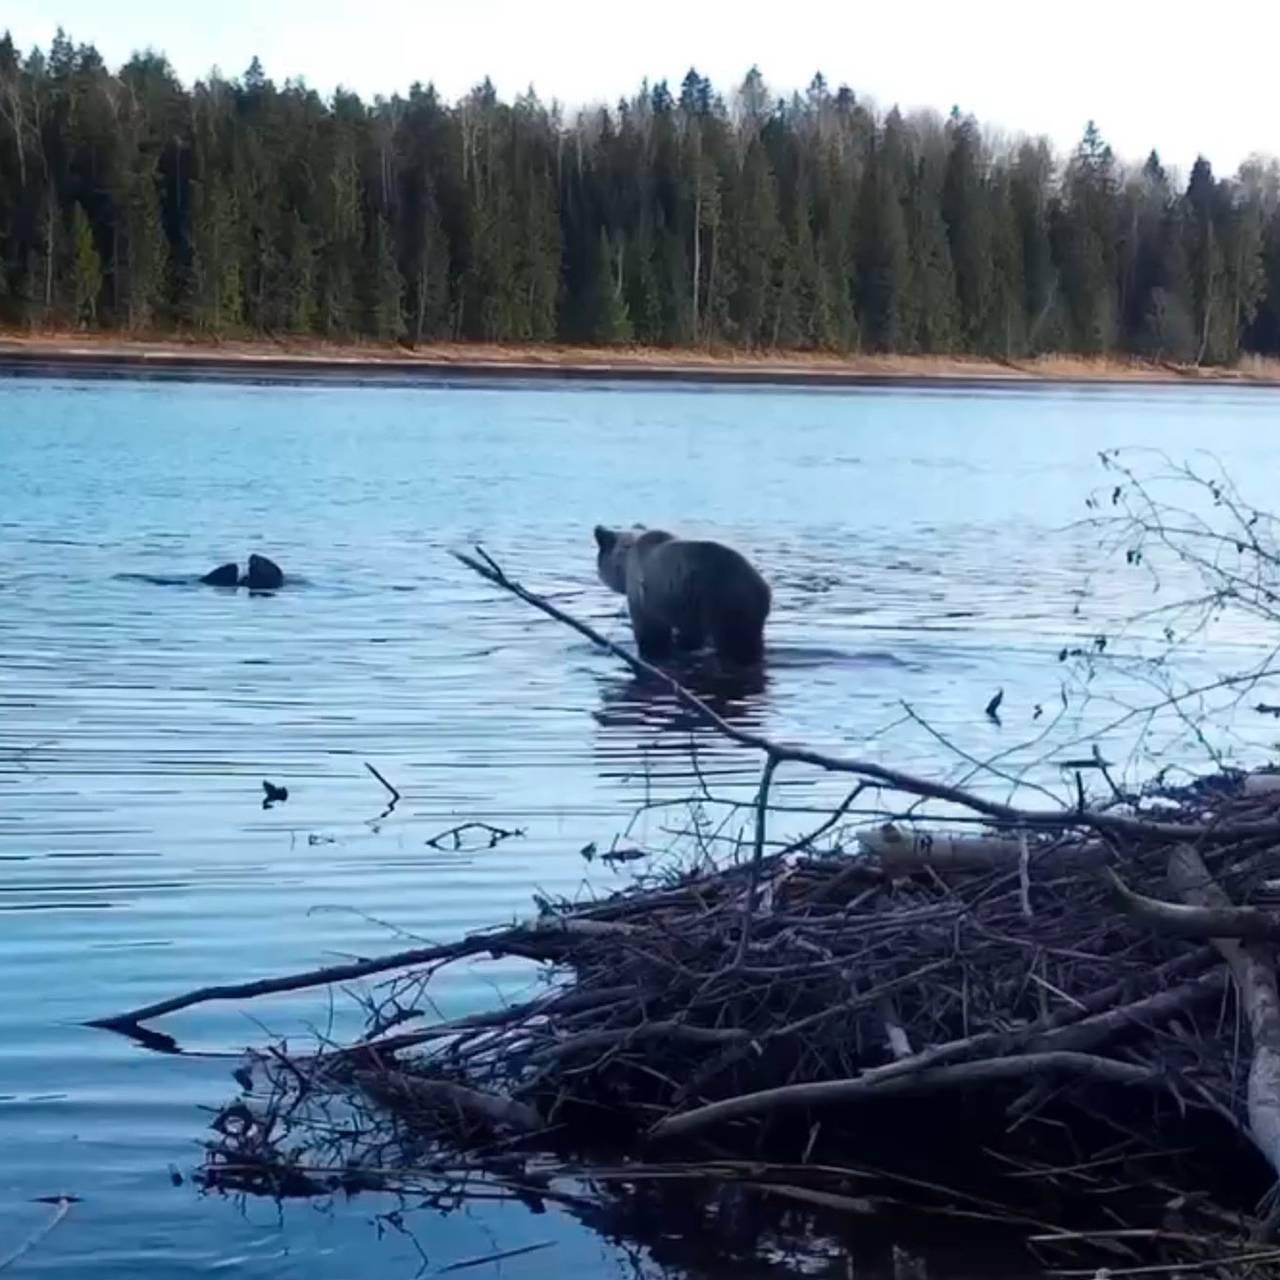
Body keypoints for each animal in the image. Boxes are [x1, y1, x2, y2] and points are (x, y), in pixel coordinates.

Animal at [593, 525, 771, 665]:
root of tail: (763, 587)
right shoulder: (685, 610)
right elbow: (689, 638)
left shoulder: (646, 600)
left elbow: (651, 636)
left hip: (723, 603)